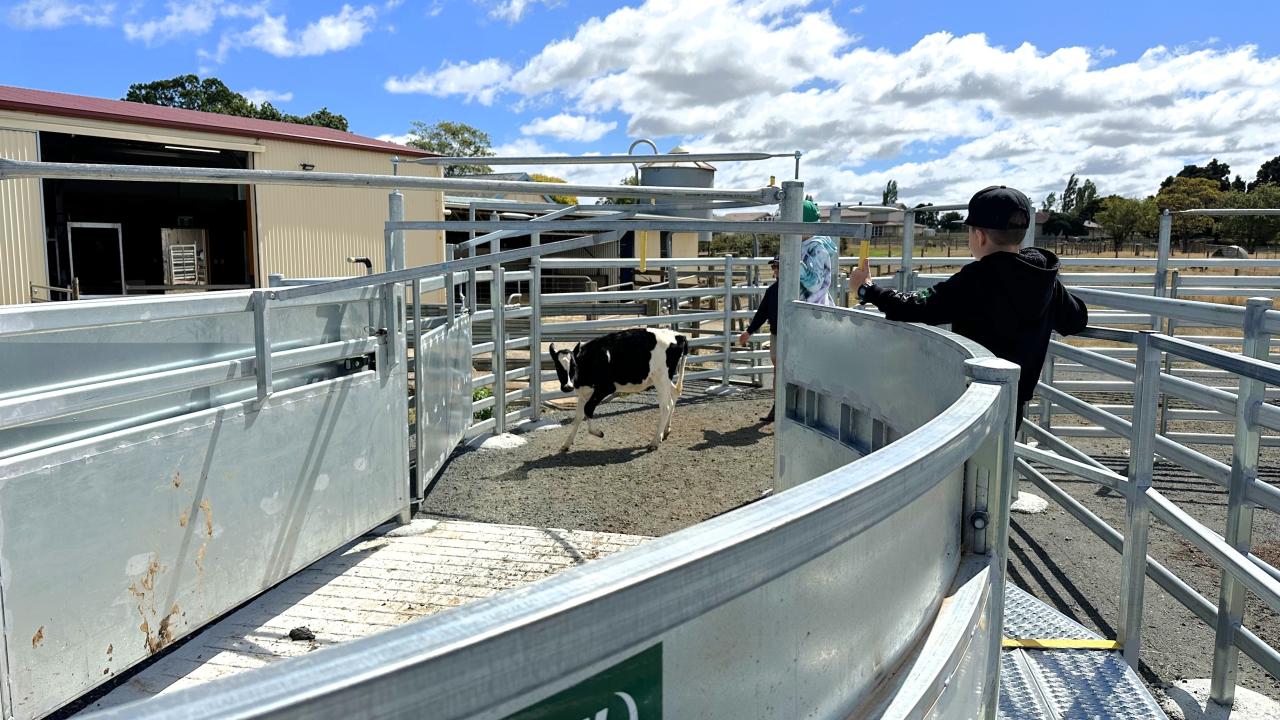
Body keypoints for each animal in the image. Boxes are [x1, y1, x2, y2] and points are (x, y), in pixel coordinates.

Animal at [549, 328, 689, 453]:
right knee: (674, 395)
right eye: (557, 366)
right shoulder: (584, 392)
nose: (567, 387)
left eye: (573, 365)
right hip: (663, 379)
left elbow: (588, 409)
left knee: (666, 406)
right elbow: (578, 417)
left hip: (661, 378)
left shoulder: (606, 388)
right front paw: (566, 444)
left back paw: (654, 442)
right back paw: (665, 431)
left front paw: (598, 433)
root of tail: (677, 335)